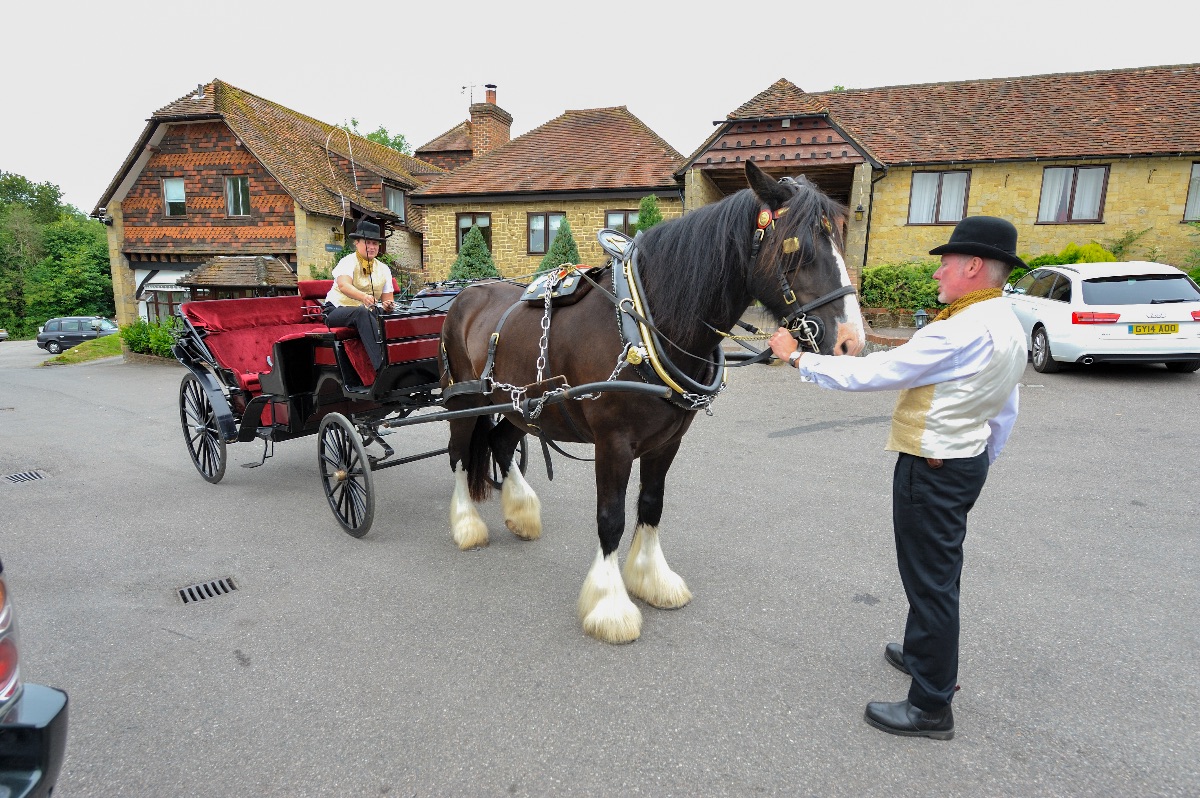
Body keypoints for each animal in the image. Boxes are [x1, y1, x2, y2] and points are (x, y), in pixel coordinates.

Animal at [439, 160, 864, 643]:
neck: (644, 324)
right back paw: (467, 525)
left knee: (501, 447)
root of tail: (466, 294)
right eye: (797, 246)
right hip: (464, 403)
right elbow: (611, 519)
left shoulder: (667, 441)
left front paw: (651, 578)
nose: (851, 341)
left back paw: (521, 514)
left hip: (517, 405)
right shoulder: (613, 444)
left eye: (841, 239)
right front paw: (610, 606)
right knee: (459, 455)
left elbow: (651, 505)